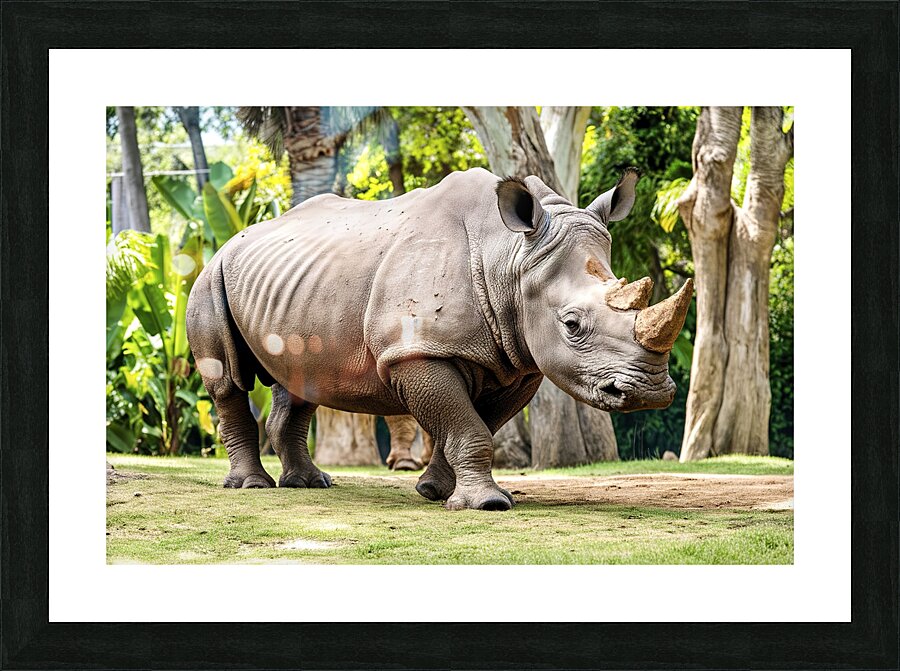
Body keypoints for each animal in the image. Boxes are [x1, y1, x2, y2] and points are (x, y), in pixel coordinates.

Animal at [186, 167, 692, 510]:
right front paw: (487, 505)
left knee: (301, 382)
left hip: (294, 287)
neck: (509, 256)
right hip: (210, 278)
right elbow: (467, 425)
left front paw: (435, 491)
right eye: (572, 325)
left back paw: (312, 483)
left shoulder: (518, 360)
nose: (650, 392)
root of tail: (231, 240)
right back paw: (252, 487)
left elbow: (477, 424)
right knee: (229, 382)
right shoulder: (415, 352)